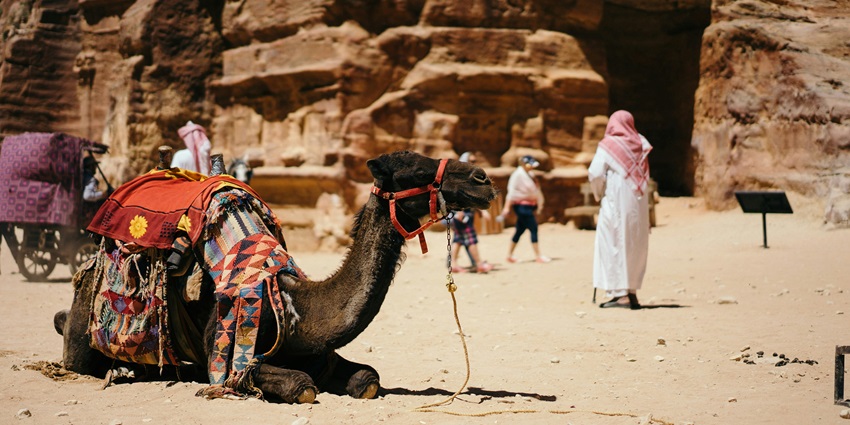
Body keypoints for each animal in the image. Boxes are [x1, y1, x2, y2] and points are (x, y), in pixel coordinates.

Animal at [54, 150, 496, 403]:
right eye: (415, 170)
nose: (483, 180)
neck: (298, 305)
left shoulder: (321, 353)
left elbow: (368, 378)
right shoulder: (231, 357)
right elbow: (302, 386)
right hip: (82, 339)